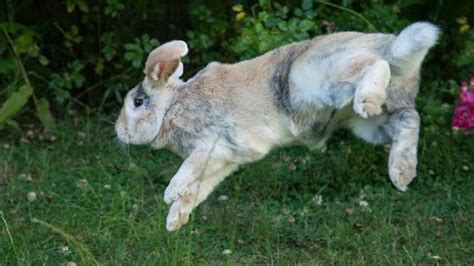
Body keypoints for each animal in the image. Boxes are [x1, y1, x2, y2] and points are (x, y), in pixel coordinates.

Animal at [115, 22, 440, 231]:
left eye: (138, 101)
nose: (119, 132)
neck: (172, 106)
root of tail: (392, 47)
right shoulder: (222, 161)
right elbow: (199, 189)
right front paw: (175, 220)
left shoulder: (211, 145)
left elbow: (188, 172)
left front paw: (170, 195)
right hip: (370, 125)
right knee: (409, 118)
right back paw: (402, 174)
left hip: (318, 77)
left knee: (375, 65)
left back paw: (367, 98)